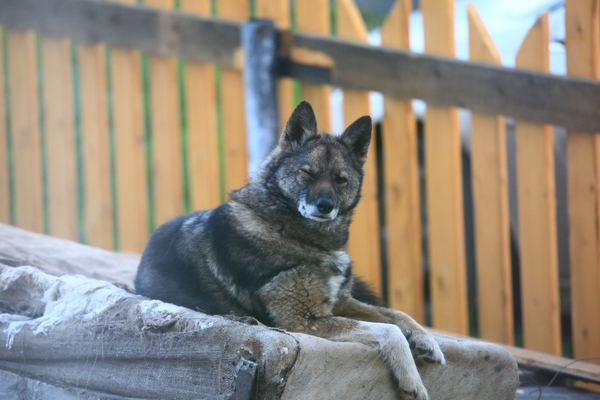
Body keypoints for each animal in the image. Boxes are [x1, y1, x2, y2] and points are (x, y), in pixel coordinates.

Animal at [137, 101, 446, 400]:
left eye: (340, 179)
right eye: (307, 173)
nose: (325, 206)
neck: (290, 230)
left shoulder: (341, 303)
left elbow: (397, 315)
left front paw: (426, 340)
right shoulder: (303, 321)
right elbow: (390, 330)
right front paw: (412, 380)